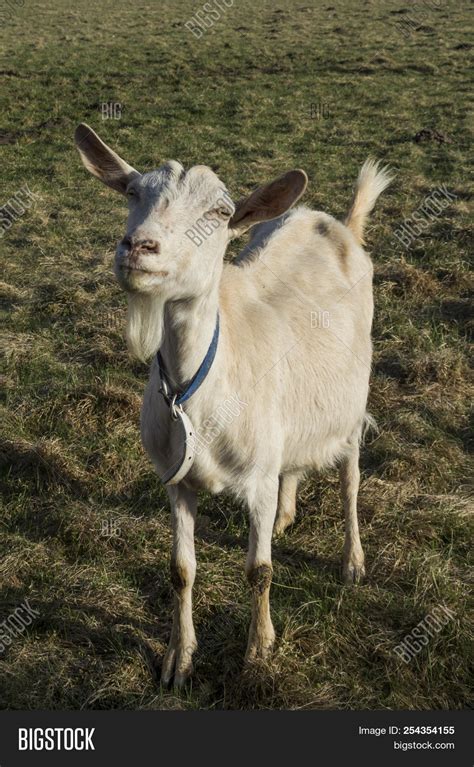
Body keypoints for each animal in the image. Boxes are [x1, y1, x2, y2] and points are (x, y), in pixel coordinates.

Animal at [75, 123, 392, 688]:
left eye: (221, 212)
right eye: (133, 192)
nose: (139, 247)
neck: (196, 394)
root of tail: (340, 224)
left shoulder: (257, 479)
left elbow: (258, 571)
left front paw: (259, 650)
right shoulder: (176, 480)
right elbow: (181, 571)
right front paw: (177, 660)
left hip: (352, 403)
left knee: (351, 479)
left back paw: (352, 561)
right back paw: (286, 517)